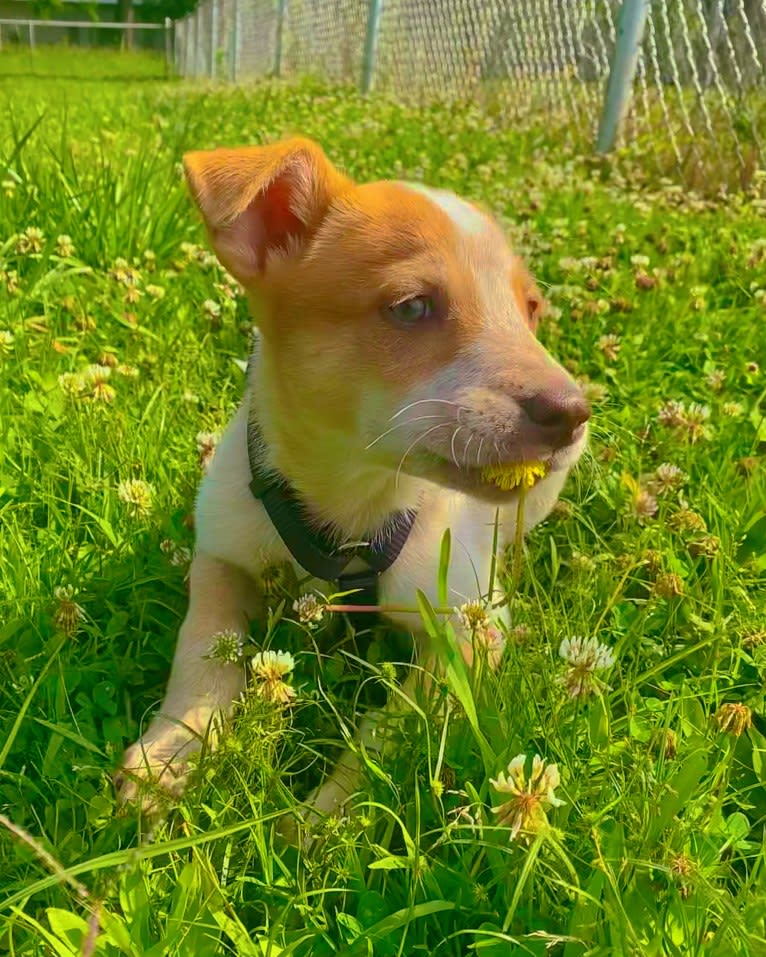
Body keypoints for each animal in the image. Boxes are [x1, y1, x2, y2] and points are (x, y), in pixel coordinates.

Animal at [117, 138, 592, 824]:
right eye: (412, 307)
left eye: (531, 312)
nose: (574, 414)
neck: (352, 499)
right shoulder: (220, 554)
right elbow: (204, 646)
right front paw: (172, 753)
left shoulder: (471, 629)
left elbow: (390, 729)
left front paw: (321, 820)